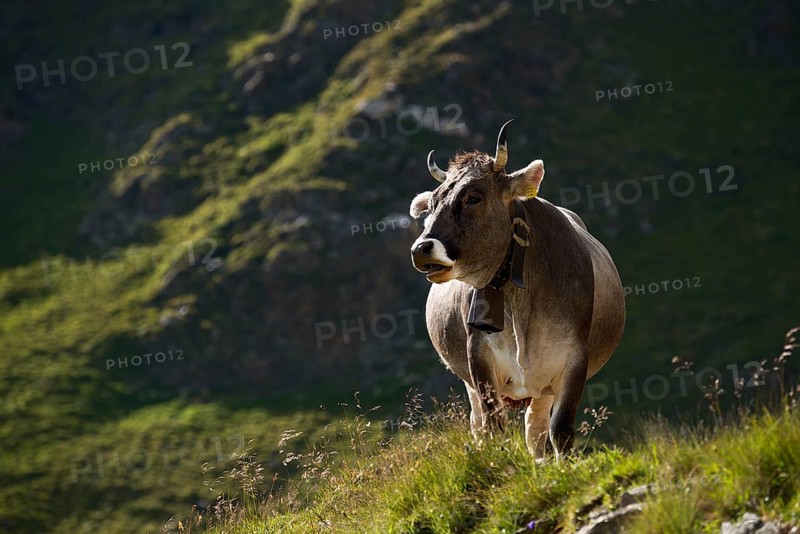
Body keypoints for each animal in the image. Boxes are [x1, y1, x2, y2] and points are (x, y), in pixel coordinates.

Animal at [408, 120, 625, 459]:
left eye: (473, 197)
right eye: (431, 204)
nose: (421, 249)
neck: (518, 304)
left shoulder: (575, 359)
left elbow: (560, 431)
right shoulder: (478, 356)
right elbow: (494, 425)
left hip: (542, 386)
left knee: (535, 431)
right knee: (481, 424)